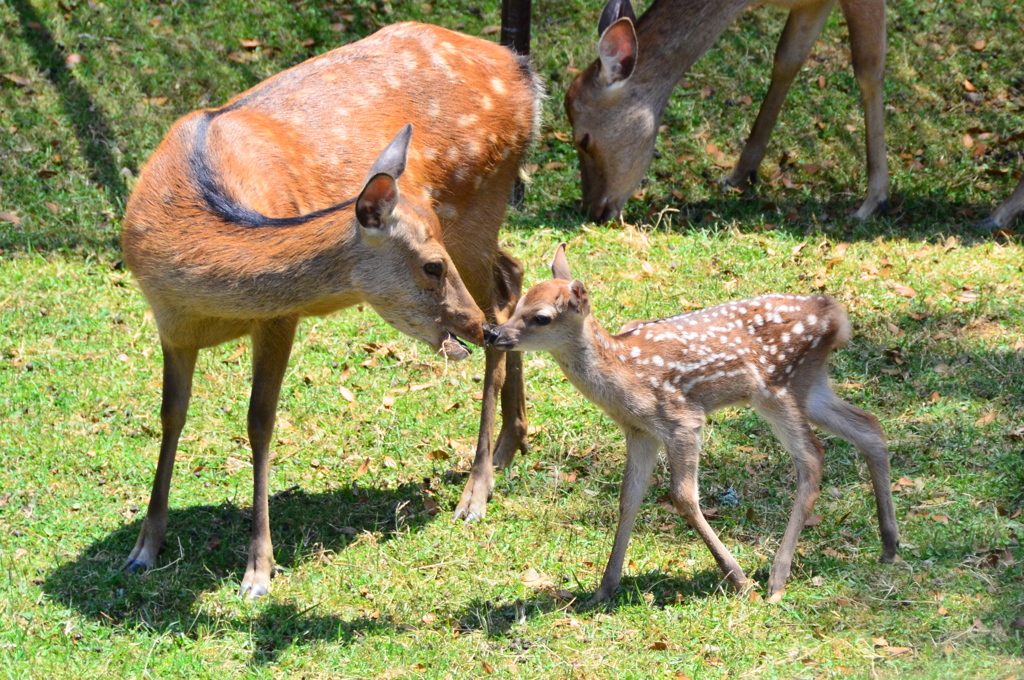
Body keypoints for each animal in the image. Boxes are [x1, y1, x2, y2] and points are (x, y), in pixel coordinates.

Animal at [120, 21, 544, 598]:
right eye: (431, 266)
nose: (470, 328)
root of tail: (525, 74)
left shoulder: (279, 317)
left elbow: (260, 421)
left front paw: (258, 571)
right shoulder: (170, 324)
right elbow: (171, 415)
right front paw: (144, 548)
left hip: (479, 201)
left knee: (501, 301)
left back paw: (476, 491)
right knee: (512, 273)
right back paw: (509, 445)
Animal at [483, 242, 901, 602]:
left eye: (541, 317)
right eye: (518, 304)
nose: (494, 333)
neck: (624, 376)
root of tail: (837, 316)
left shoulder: (682, 420)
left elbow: (682, 496)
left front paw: (739, 580)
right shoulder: (640, 432)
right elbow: (628, 498)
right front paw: (604, 589)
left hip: (777, 387)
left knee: (813, 457)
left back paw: (776, 580)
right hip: (810, 386)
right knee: (869, 426)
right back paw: (889, 545)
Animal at [565, 0, 892, 222]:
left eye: (583, 139)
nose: (592, 209)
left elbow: (868, 70)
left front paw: (873, 201)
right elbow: (787, 59)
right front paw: (738, 175)